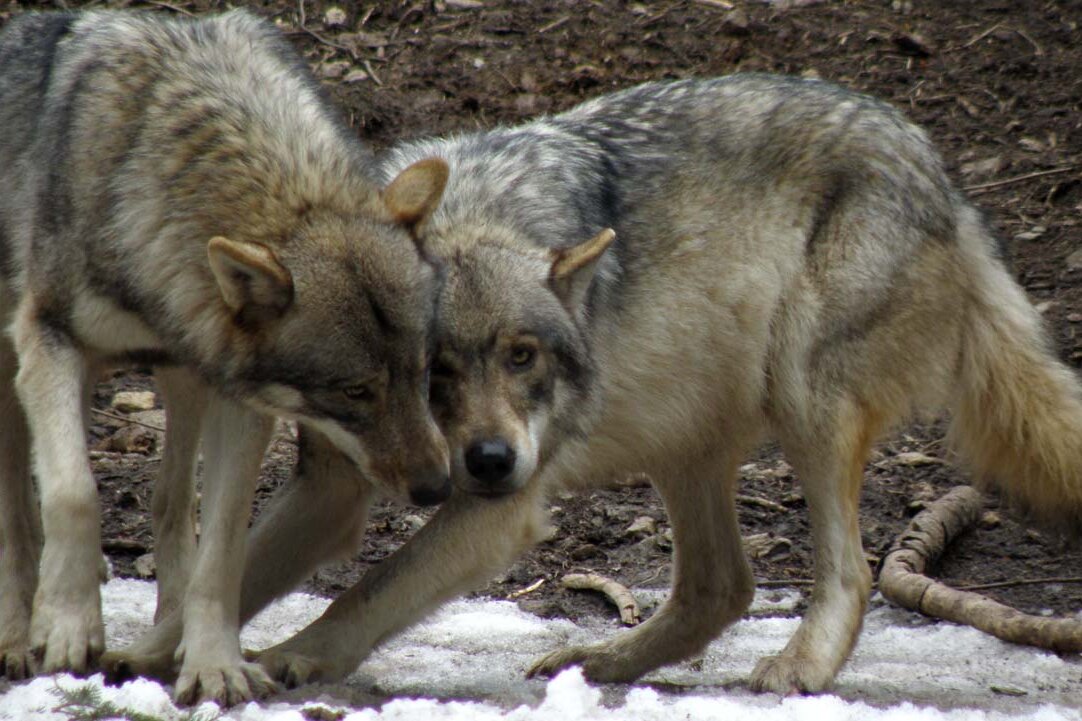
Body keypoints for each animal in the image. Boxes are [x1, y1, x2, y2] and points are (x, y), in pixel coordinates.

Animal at [0, 9, 450, 705]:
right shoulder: (48, 344)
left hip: (183, 384)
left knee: (169, 503)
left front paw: (213, 664)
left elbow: (222, 547)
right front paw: (69, 627)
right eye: (355, 392)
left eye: (423, 372)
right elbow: (74, 492)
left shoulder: (241, 400)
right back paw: (19, 635)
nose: (437, 488)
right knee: (20, 512)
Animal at [126, 74, 1082, 695]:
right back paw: (602, 664)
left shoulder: (502, 511)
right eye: (432, 373)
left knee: (847, 571)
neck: (472, 213)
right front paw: (149, 657)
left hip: (800, 400)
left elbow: (373, 587)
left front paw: (291, 655)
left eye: (522, 357)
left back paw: (799, 666)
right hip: (682, 442)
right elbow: (238, 565)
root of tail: (942, 172)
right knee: (723, 586)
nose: (488, 459)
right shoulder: (333, 490)